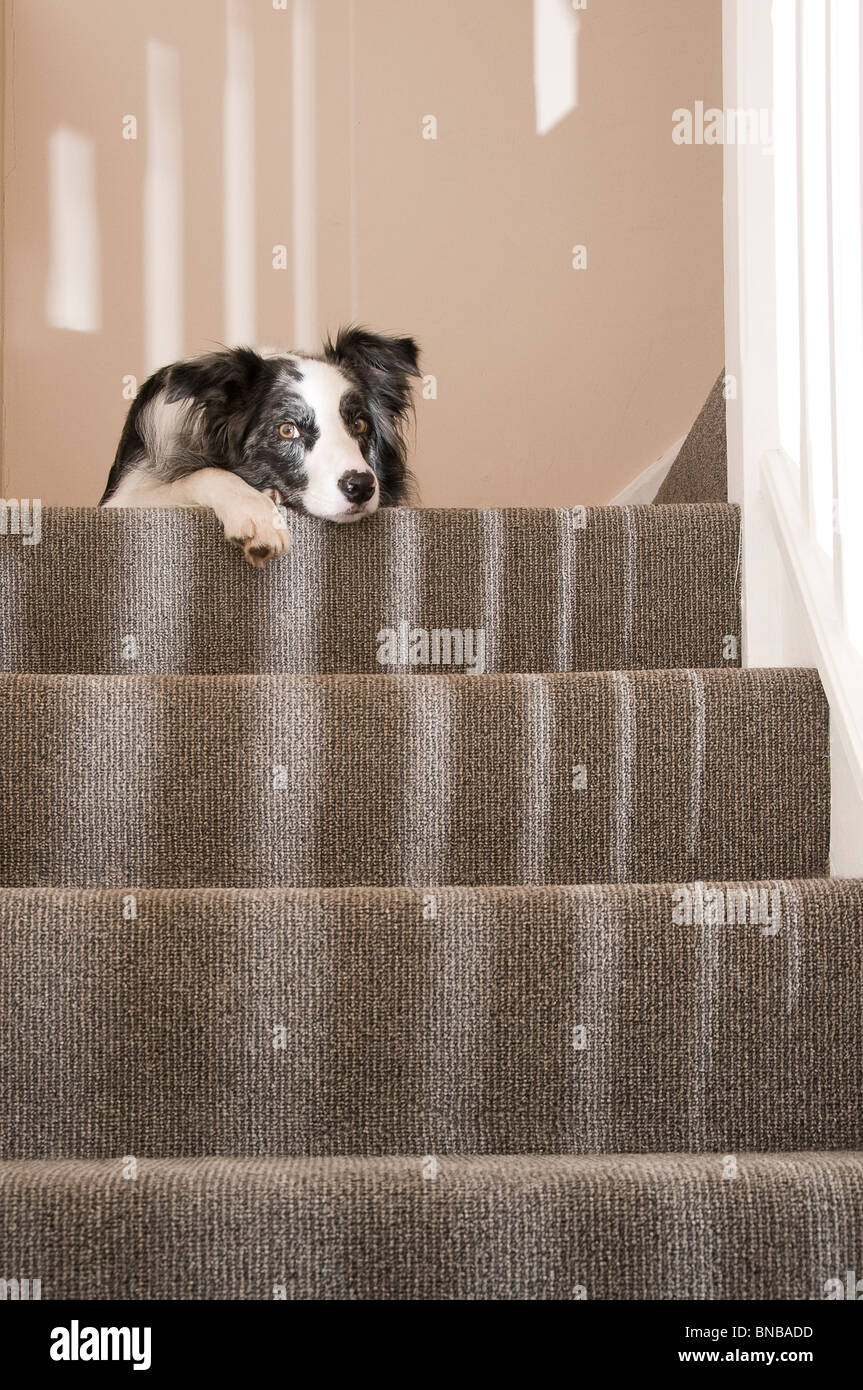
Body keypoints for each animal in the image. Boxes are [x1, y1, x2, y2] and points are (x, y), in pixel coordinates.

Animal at [99, 325, 419, 564]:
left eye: (359, 424)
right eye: (287, 430)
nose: (361, 486)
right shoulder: (121, 500)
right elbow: (204, 473)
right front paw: (257, 514)